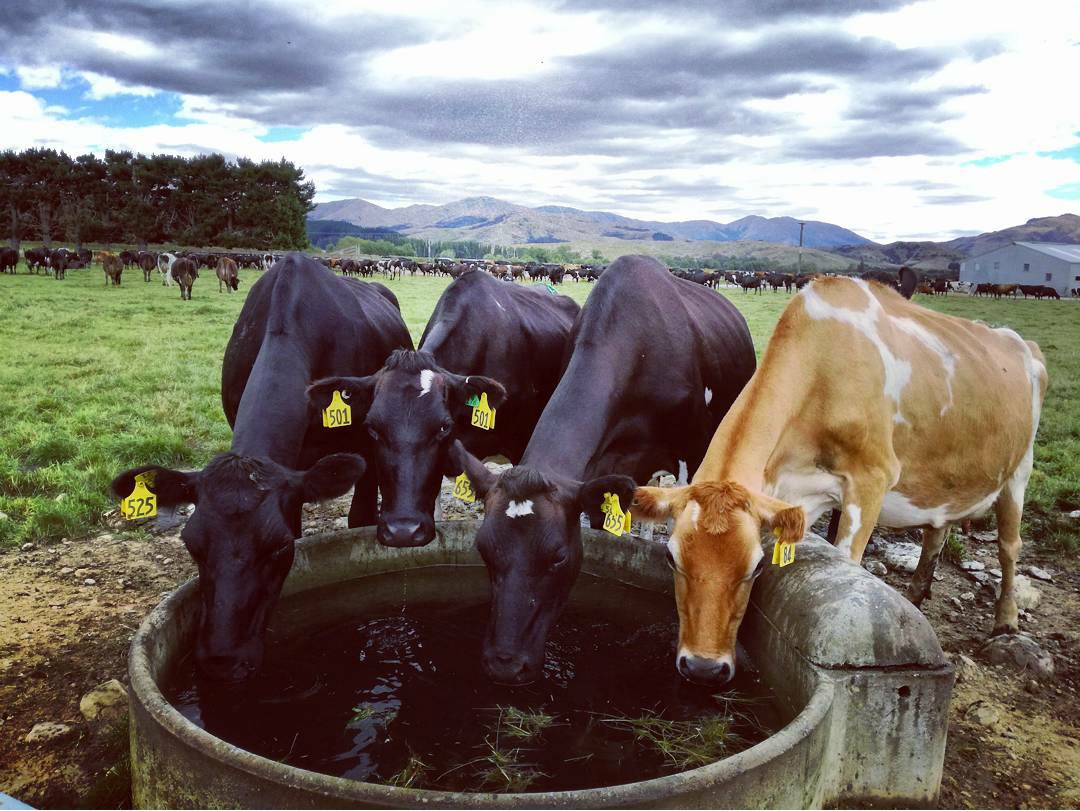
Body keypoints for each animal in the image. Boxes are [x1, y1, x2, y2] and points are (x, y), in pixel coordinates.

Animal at [630, 274, 1045, 686]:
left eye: (757, 566)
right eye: (671, 557)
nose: (703, 668)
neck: (822, 373)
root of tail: (1021, 342)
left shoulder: (871, 480)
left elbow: (848, 559)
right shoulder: (801, 495)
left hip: (1019, 472)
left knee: (1010, 546)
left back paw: (1006, 621)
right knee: (936, 532)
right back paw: (916, 593)